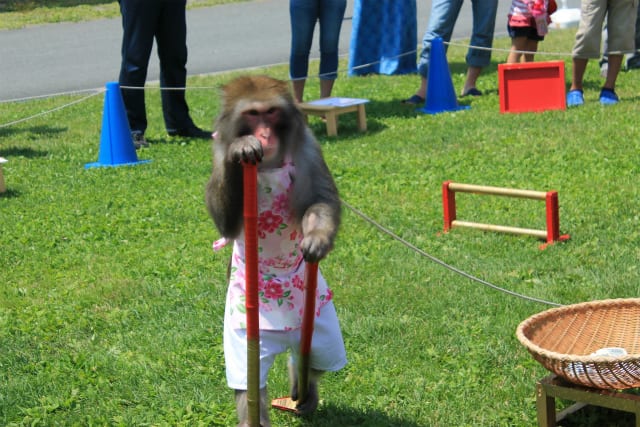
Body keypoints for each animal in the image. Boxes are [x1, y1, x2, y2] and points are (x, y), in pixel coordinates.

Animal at [205, 75, 348, 426]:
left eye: (270, 113)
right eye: (252, 115)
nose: (263, 135)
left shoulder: (308, 147)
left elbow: (319, 199)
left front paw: (317, 240)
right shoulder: (219, 151)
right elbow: (226, 225)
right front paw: (242, 148)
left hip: (320, 328)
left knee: (316, 358)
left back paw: (303, 392)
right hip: (250, 336)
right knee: (249, 384)